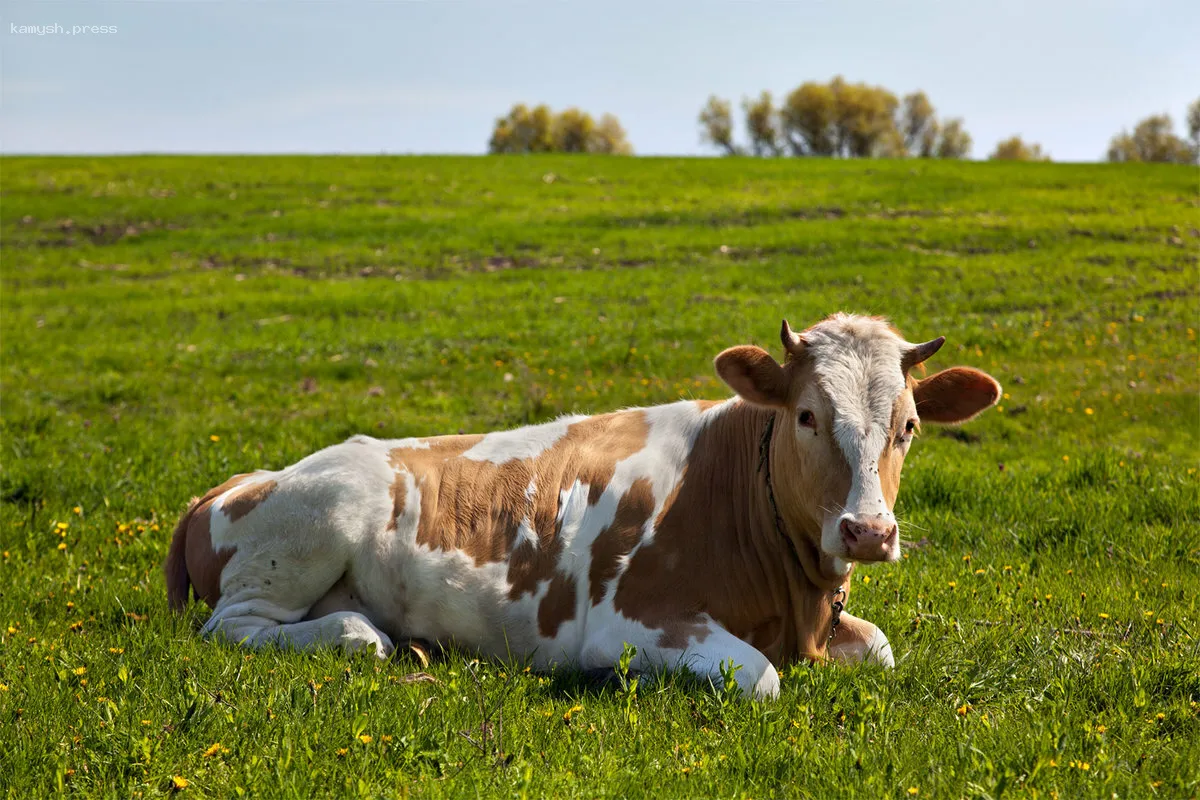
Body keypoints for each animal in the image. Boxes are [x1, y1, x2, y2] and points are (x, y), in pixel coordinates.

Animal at [164, 316, 998, 695]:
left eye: (909, 427)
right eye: (806, 416)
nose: (868, 531)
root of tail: (233, 482)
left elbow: (882, 646)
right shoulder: (631, 621)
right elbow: (761, 677)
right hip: (314, 526)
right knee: (238, 627)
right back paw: (364, 633)